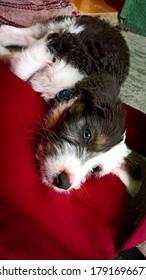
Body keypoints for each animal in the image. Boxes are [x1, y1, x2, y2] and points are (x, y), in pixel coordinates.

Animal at [0, 14, 142, 195]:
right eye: (88, 134)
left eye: (95, 169)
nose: (63, 182)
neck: (67, 89)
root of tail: (115, 30)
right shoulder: (62, 45)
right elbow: (19, 68)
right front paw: (4, 54)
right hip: (66, 26)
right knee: (22, 32)